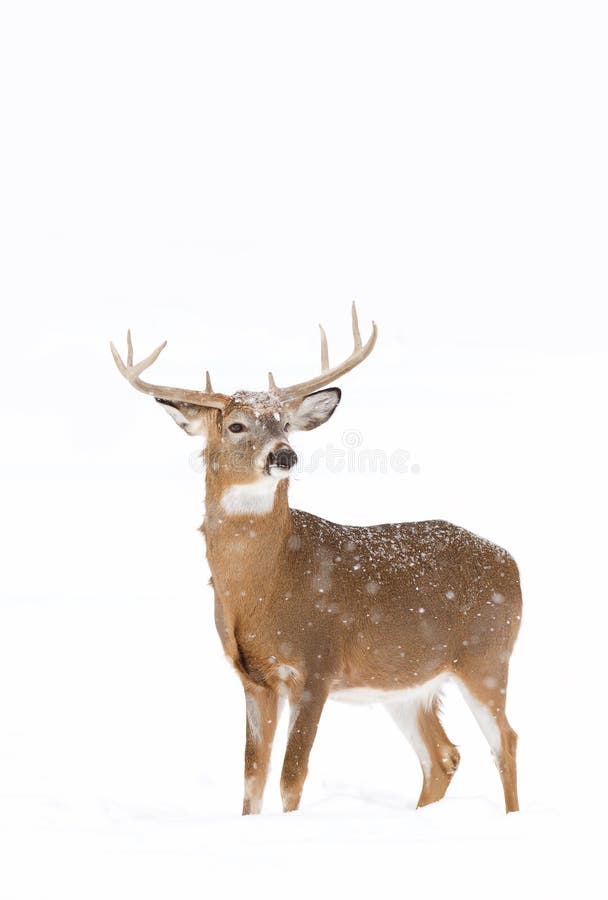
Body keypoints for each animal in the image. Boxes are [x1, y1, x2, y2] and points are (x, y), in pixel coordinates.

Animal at [110, 304, 521, 815]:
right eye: (236, 425)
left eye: (284, 423)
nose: (284, 455)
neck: (263, 590)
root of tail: (512, 562)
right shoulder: (253, 677)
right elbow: (252, 779)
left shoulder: (317, 662)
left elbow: (291, 776)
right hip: (407, 682)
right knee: (442, 756)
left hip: (487, 655)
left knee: (504, 741)